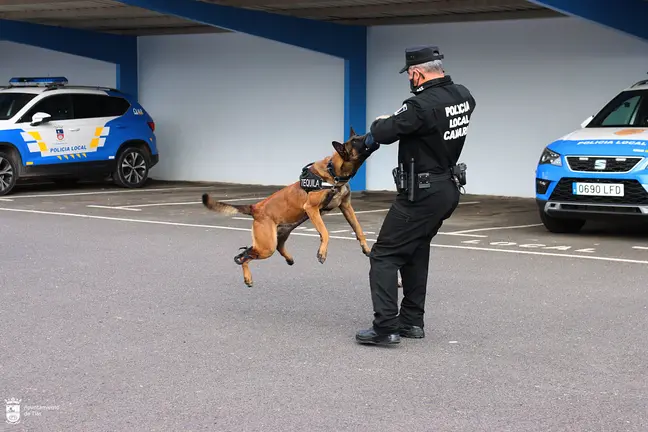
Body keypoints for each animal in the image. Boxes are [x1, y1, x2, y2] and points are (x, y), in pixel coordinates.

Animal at [202, 127, 380, 286]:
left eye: (359, 136)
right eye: (356, 141)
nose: (371, 133)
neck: (334, 173)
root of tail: (255, 207)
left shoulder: (346, 207)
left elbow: (358, 229)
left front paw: (366, 248)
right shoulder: (311, 208)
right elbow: (325, 232)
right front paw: (322, 252)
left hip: (278, 237)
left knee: (258, 250)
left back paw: (288, 259)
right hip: (267, 246)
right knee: (244, 256)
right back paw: (248, 277)